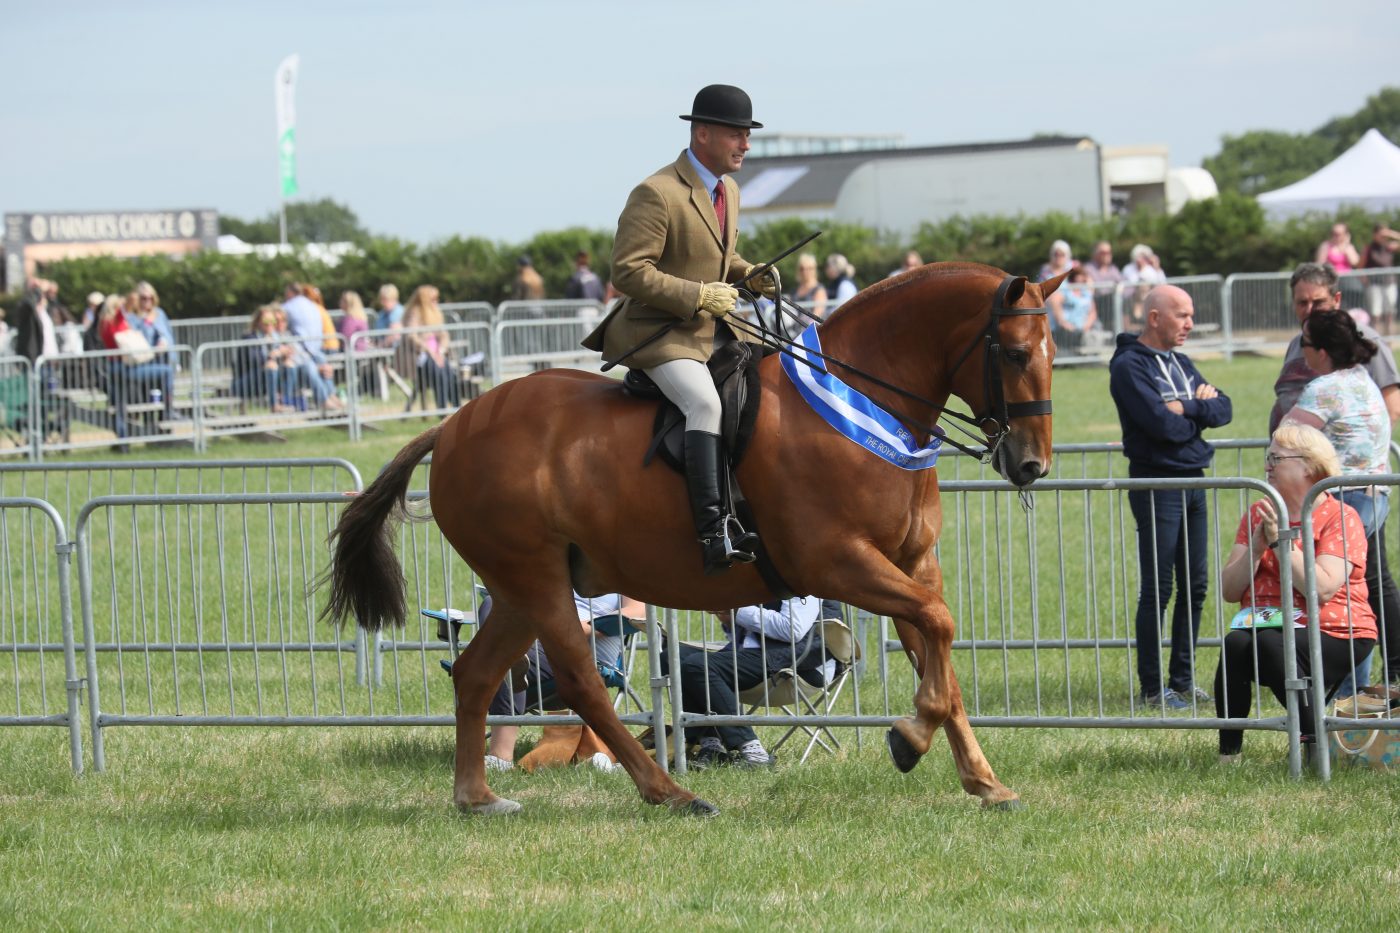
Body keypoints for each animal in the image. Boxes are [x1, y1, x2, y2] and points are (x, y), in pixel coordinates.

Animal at [324, 261, 1061, 816]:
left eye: (1052, 356)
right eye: (1016, 353)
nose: (1031, 465)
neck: (860, 406)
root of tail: (451, 427)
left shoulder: (911, 565)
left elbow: (939, 643)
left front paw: (982, 779)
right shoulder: (839, 562)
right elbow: (938, 627)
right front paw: (909, 738)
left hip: (518, 588)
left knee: (478, 673)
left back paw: (477, 796)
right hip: (534, 579)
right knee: (583, 681)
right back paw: (670, 791)